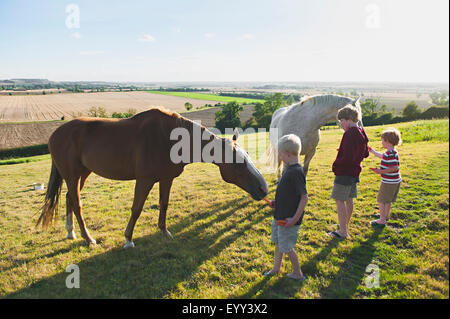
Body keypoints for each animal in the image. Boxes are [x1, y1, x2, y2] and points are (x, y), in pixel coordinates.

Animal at [37, 107, 268, 250]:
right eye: (238, 163)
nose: (264, 189)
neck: (170, 139)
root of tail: (55, 134)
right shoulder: (144, 180)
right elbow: (137, 208)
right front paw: (128, 240)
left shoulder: (166, 179)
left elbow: (164, 204)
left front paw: (164, 231)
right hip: (72, 175)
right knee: (77, 204)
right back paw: (88, 238)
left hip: (82, 174)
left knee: (69, 198)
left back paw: (71, 233)